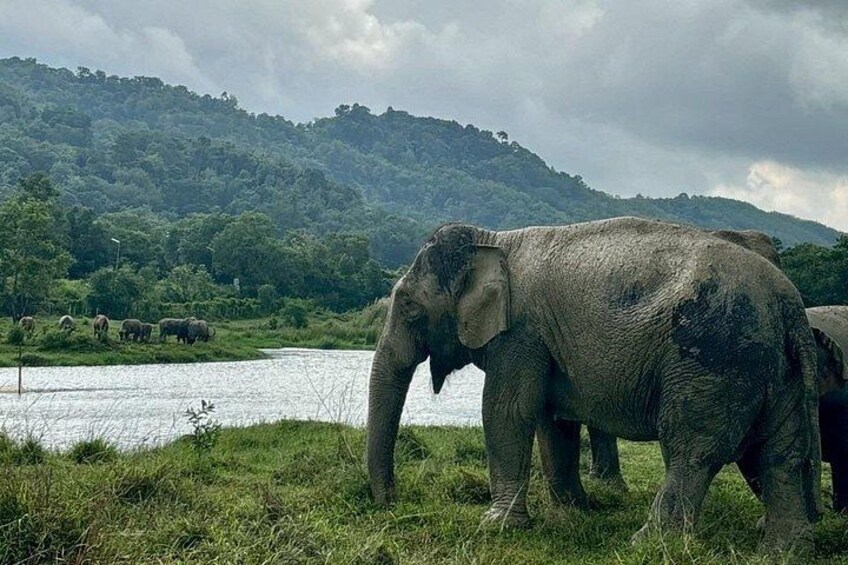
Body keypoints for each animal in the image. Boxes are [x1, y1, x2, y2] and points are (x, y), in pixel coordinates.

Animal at [366, 218, 821, 551]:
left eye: (408, 306)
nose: (390, 502)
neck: (494, 240)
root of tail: (789, 303)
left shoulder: (520, 334)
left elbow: (507, 412)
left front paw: (497, 526)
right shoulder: (546, 342)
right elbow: (553, 421)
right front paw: (575, 513)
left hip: (713, 358)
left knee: (693, 450)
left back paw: (647, 543)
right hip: (776, 368)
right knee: (780, 453)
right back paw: (784, 551)